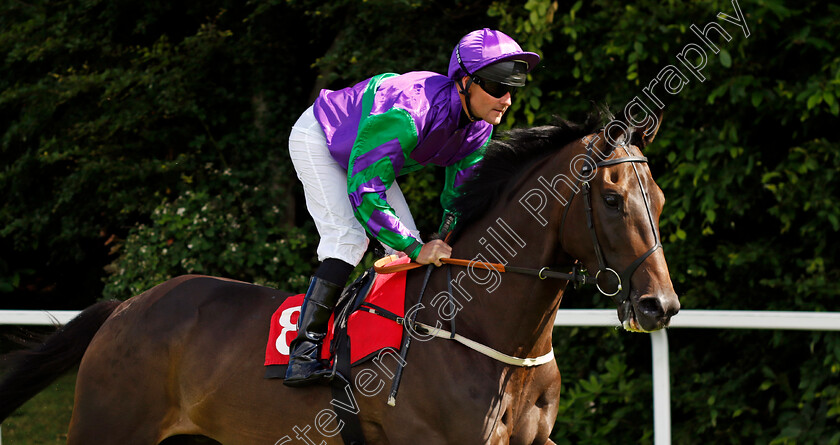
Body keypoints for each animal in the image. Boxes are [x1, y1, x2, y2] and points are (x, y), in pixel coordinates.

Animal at [0, 110, 680, 440]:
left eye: (660, 198)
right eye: (613, 199)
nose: (661, 306)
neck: (486, 337)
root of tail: (124, 308)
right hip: (106, 425)